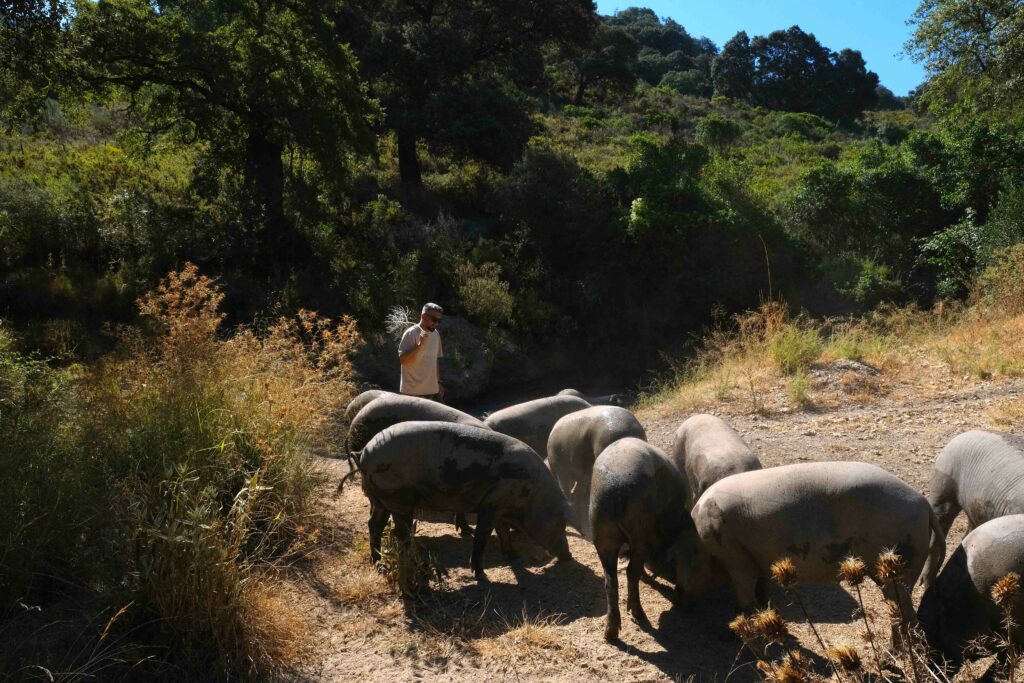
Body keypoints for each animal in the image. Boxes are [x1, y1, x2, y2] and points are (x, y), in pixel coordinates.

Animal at [358, 421, 569, 581]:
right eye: (561, 524)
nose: (569, 555)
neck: (532, 495)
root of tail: (364, 453)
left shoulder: (500, 506)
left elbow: (503, 531)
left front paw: (513, 556)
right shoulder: (491, 505)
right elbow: (482, 537)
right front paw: (481, 575)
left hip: (379, 499)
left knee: (374, 524)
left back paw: (377, 563)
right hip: (398, 498)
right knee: (400, 532)